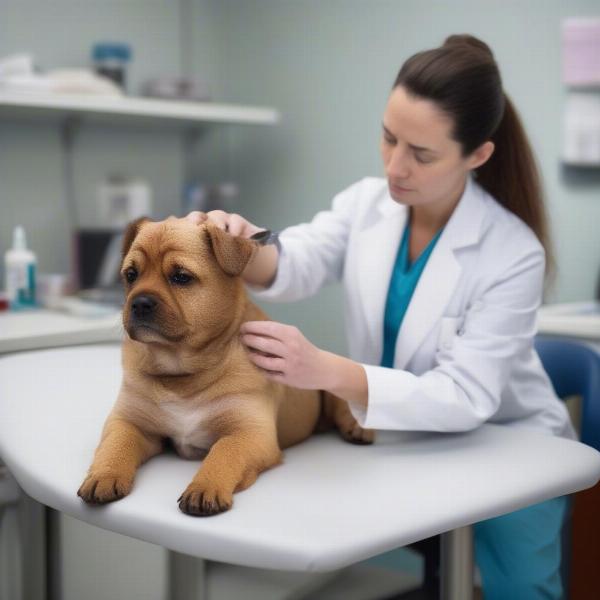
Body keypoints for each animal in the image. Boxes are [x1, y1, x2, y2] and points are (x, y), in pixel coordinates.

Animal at [77, 216, 372, 516]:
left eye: (181, 277)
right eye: (131, 275)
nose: (139, 303)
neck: (181, 370)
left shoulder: (250, 434)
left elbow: (223, 453)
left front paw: (205, 486)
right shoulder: (129, 422)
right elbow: (115, 445)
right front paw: (104, 474)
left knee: (344, 404)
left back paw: (358, 427)